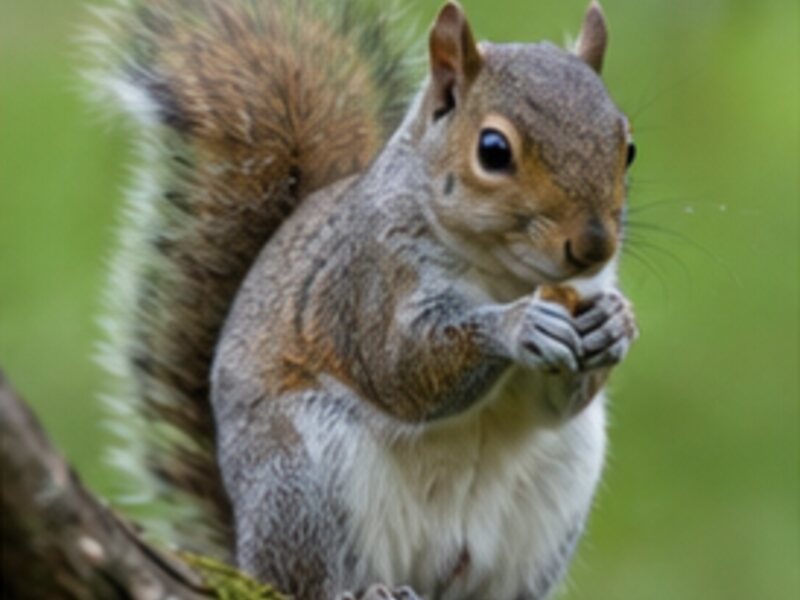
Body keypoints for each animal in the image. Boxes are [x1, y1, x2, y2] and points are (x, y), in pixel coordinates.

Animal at [93, 0, 638, 598]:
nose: (594, 245)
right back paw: (365, 590)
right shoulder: (367, 282)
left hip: (556, 491)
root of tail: (244, 552)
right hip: (298, 480)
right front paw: (516, 327)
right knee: (307, 578)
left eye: (628, 149)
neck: (505, 274)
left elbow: (555, 405)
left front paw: (615, 324)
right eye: (493, 151)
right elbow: (400, 368)